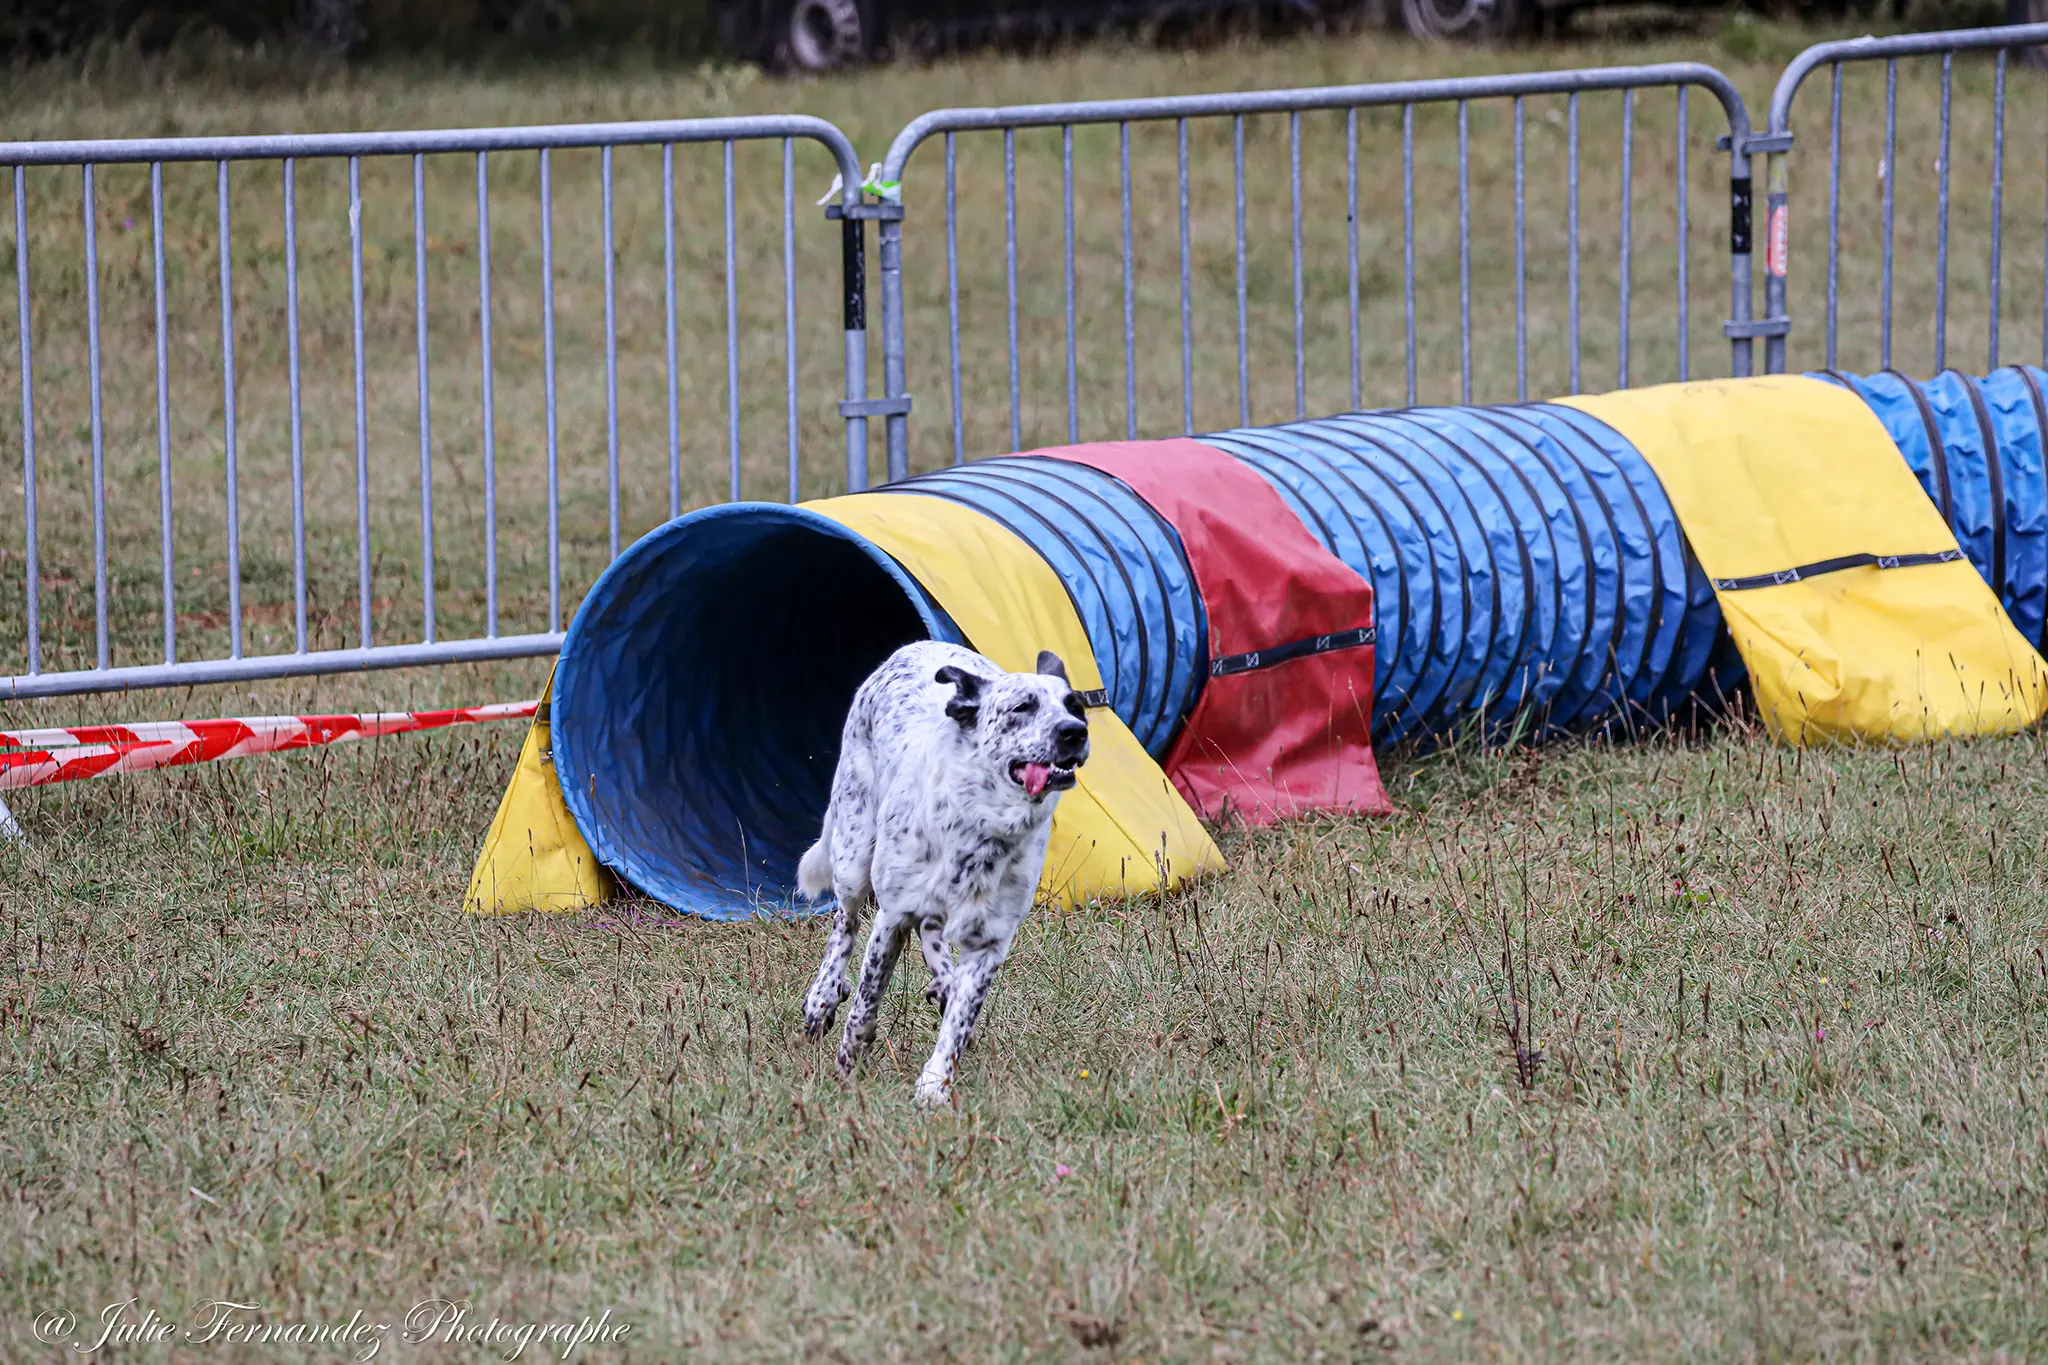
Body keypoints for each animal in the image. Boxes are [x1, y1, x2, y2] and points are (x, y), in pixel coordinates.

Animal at [794, 642, 1089, 1113]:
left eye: (1075, 706)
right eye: (1022, 707)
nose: (1074, 732)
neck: (982, 829)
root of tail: (914, 647)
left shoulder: (989, 943)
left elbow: (958, 1024)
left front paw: (934, 1085)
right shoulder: (891, 919)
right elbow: (865, 1004)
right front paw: (847, 1064)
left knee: (931, 933)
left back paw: (944, 981)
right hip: (854, 854)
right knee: (844, 922)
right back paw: (823, 994)